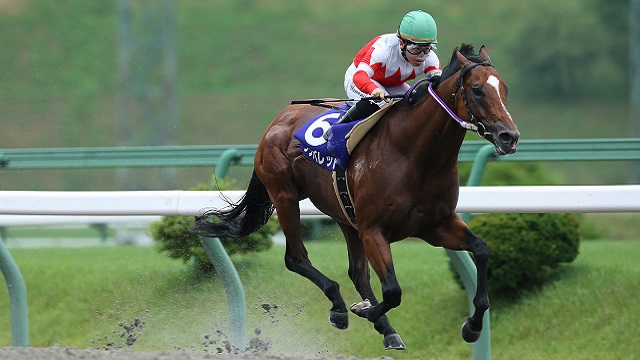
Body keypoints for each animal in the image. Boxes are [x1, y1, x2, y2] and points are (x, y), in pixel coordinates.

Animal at [194, 43, 520, 350]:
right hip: (284, 195)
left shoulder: (434, 225)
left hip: (344, 215)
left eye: (504, 89)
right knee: (296, 258)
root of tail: (279, 119)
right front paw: (364, 311)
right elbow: (393, 291)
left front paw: (473, 327)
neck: (414, 156)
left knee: (357, 272)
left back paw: (383, 327)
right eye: (477, 90)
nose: (509, 137)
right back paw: (340, 307)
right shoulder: (374, 229)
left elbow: (481, 250)